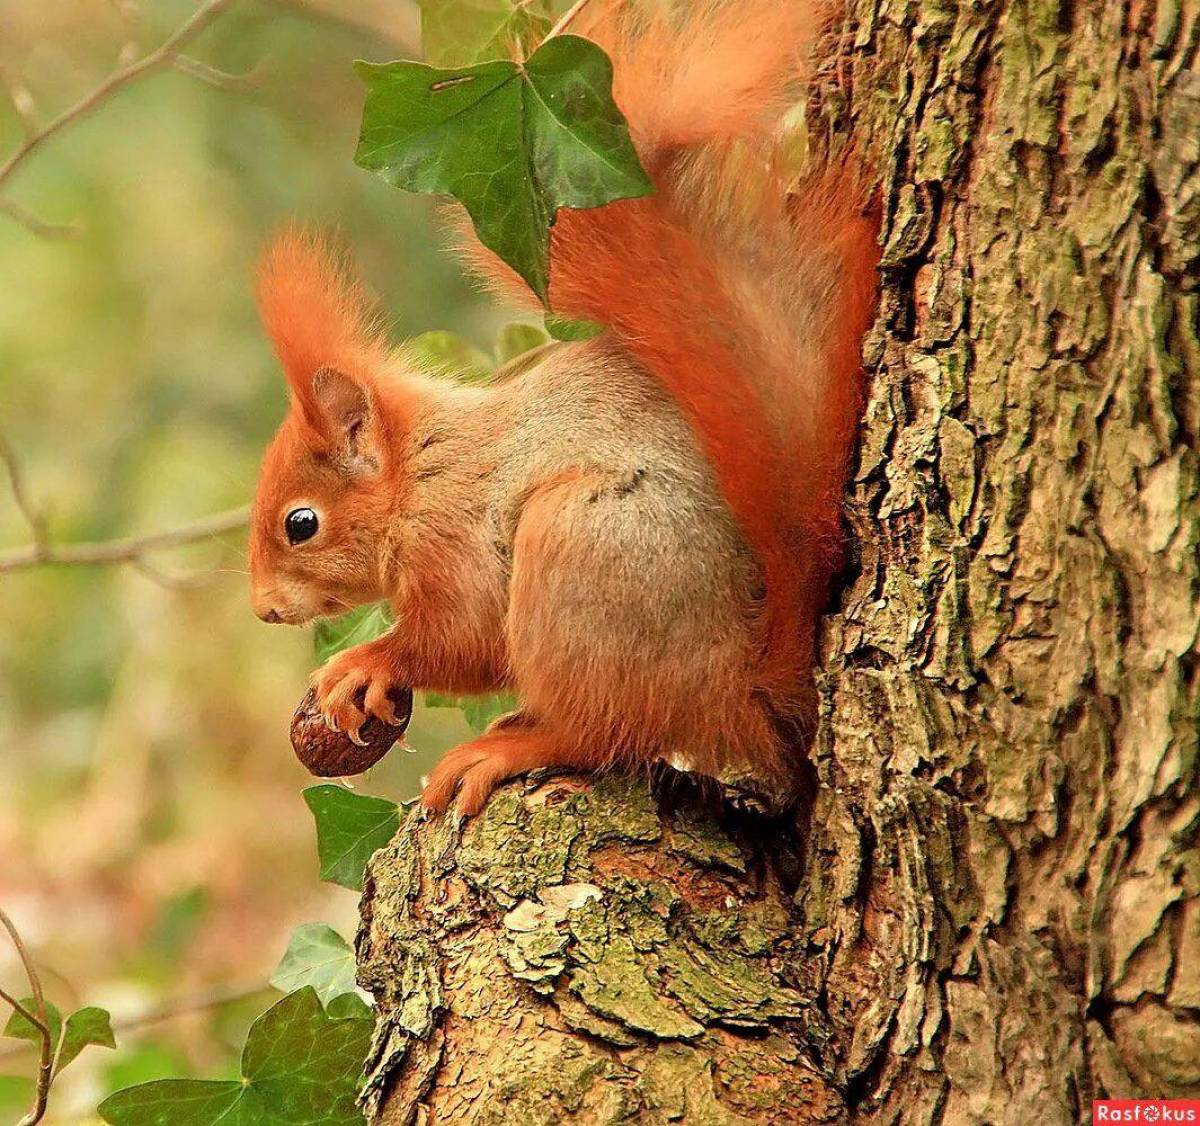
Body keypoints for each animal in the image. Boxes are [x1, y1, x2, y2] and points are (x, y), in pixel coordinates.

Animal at [246, 0, 883, 811]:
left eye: (301, 524)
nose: (263, 608)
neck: (419, 474)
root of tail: (742, 685)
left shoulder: (455, 541)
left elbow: (462, 639)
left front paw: (364, 661)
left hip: (580, 553)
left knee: (608, 727)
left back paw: (513, 746)